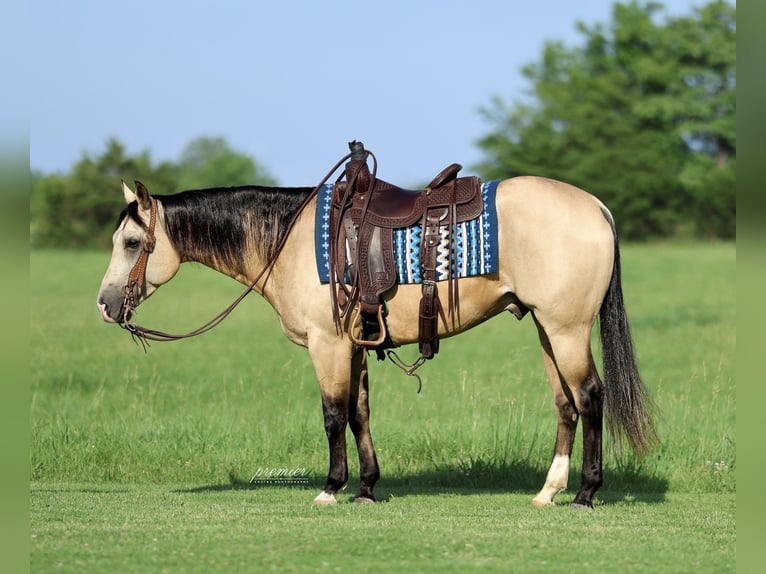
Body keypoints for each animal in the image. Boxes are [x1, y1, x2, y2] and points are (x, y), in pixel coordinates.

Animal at [97, 174, 656, 508]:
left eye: (132, 243)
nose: (104, 305)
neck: (289, 240)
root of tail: (596, 206)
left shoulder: (327, 344)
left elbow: (332, 414)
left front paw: (330, 488)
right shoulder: (355, 346)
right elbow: (359, 413)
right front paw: (365, 487)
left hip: (566, 330)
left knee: (590, 398)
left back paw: (585, 494)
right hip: (546, 329)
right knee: (565, 404)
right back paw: (549, 491)